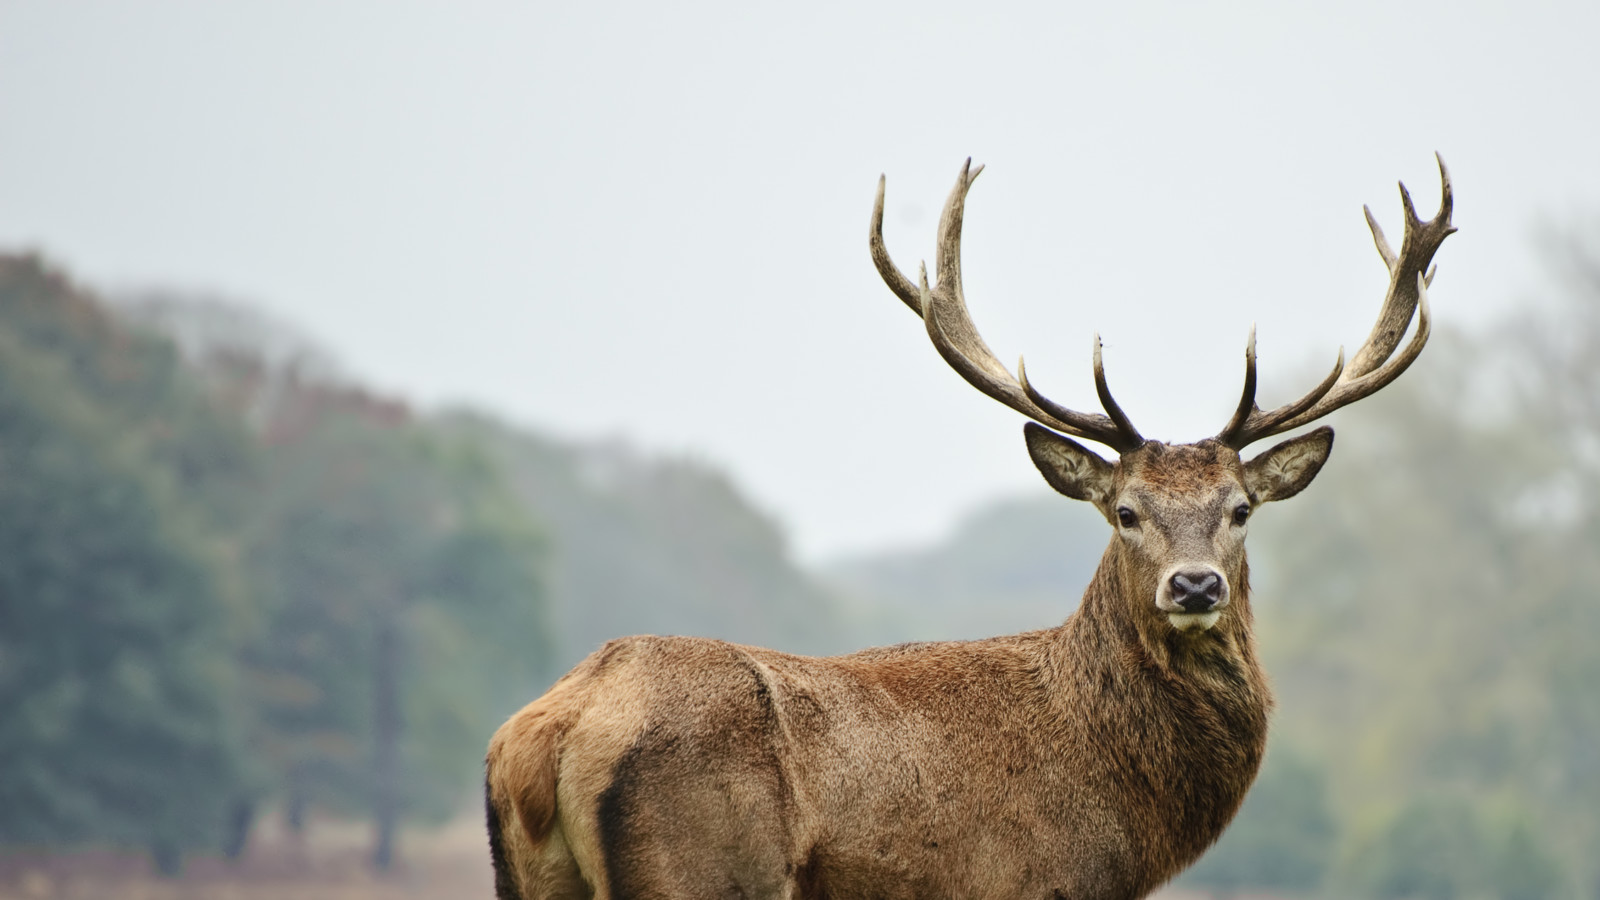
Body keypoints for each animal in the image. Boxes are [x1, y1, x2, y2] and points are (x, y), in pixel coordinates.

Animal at [483, 156, 1452, 896]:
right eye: (1126, 512)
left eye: (1240, 510)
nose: (1195, 584)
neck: (1126, 812)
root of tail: (546, 733)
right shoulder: (1039, 883)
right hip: (702, 868)